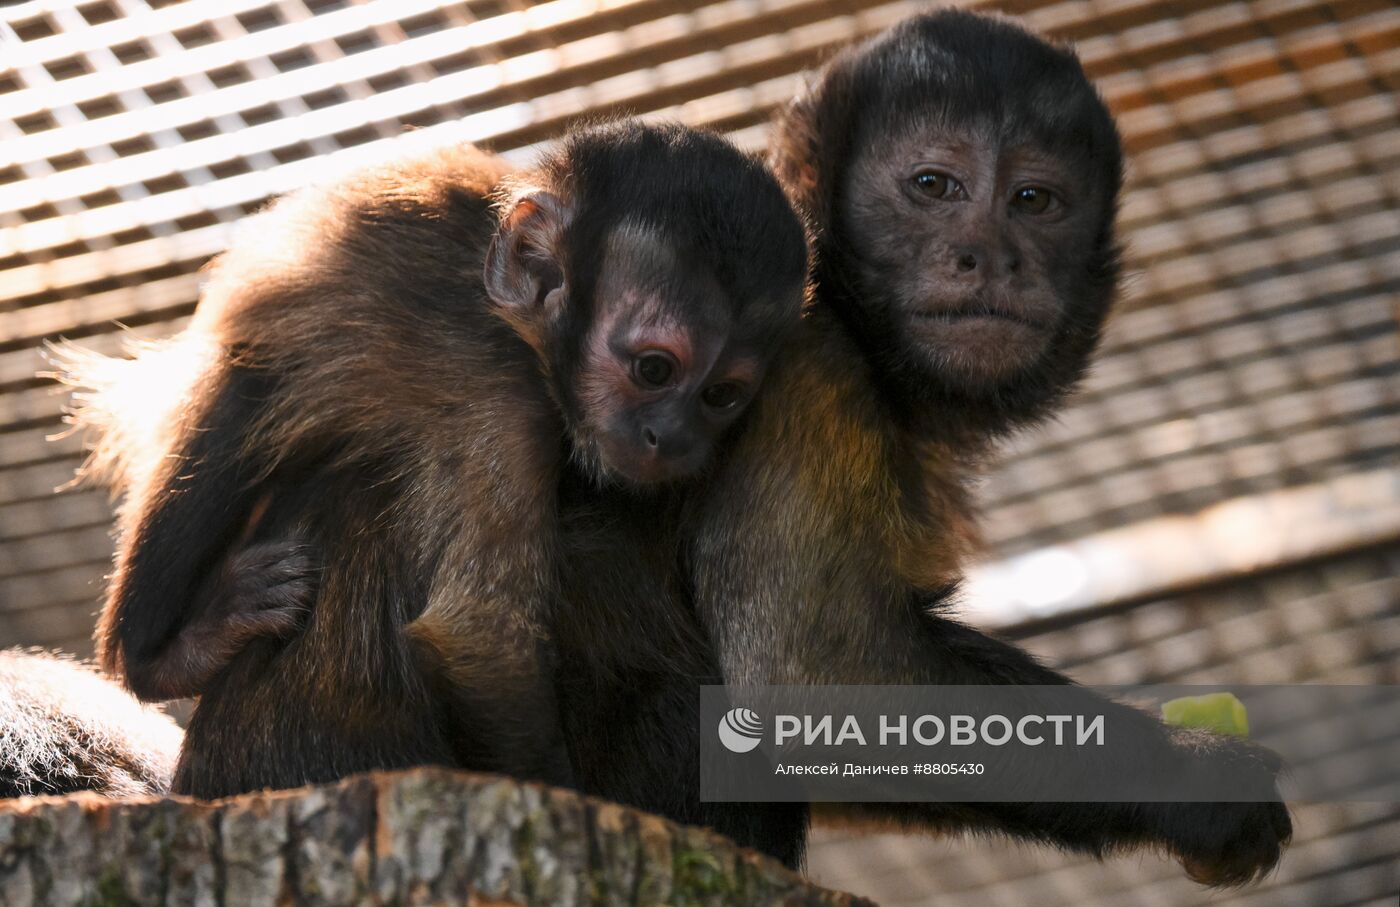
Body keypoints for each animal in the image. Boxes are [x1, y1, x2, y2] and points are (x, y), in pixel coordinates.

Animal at [54, 122, 812, 800]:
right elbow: (481, 639)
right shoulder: (507, 395)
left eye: (720, 396)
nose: (673, 436)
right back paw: (159, 658)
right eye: (654, 369)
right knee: (241, 405)